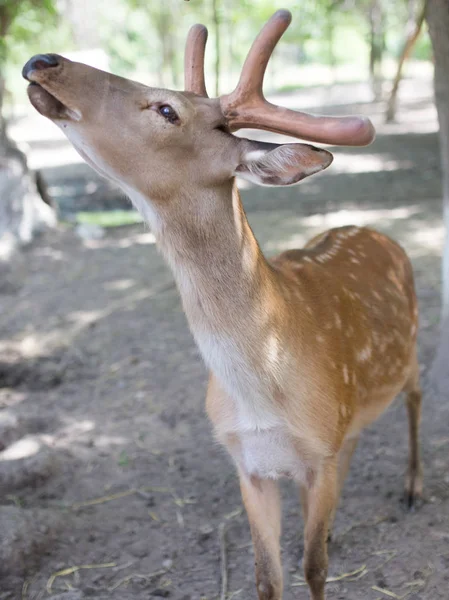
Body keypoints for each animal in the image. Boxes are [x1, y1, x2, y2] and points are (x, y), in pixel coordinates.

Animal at [22, 9, 422, 600]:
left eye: (168, 110)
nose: (42, 60)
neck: (261, 395)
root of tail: (375, 231)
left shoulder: (317, 454)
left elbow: (314, 569)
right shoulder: (247, 463)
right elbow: (267, 579)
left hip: (413, 343)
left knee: (416, 396)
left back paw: (414, 487)